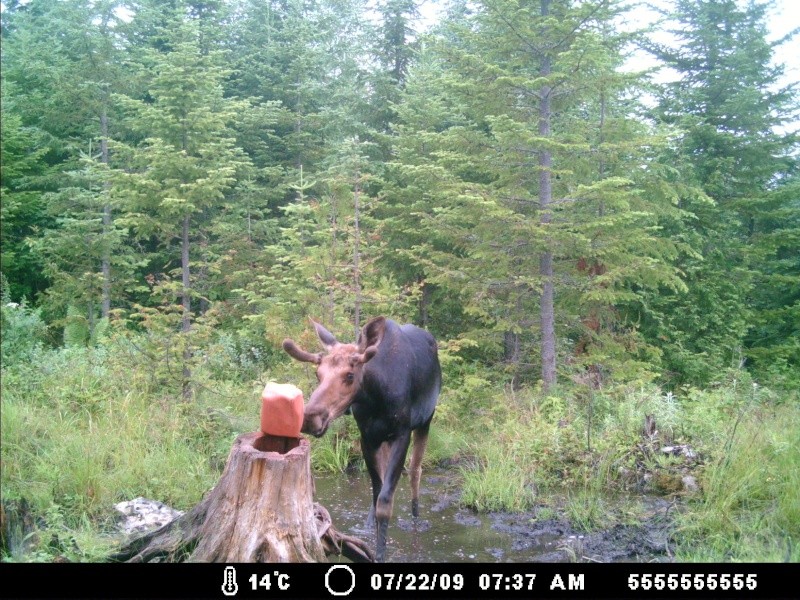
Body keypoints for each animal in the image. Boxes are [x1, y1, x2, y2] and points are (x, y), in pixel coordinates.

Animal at [282, 318, 444, 564]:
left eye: (350, 375)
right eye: (319, 374)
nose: (310, 417)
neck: (376, 396)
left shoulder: (402, 433)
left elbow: (385, 501)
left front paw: (381, 554)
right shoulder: (367, 437)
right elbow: (377, 491)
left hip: (426, 420)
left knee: (416, 471)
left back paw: (416, 517)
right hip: (383, 439)